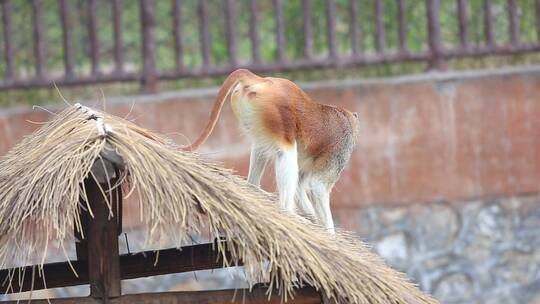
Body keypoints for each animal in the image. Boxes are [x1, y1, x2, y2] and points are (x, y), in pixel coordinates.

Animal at [185, 67, 358, 232]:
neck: (343, 115)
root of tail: (264, 81)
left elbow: (300, 186)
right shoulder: (341, 148)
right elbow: (317, 187)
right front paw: (331, 234)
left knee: (260, 147)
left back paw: (253, 187)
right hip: (275, 112)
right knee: (286, 152)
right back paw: (287, 212)